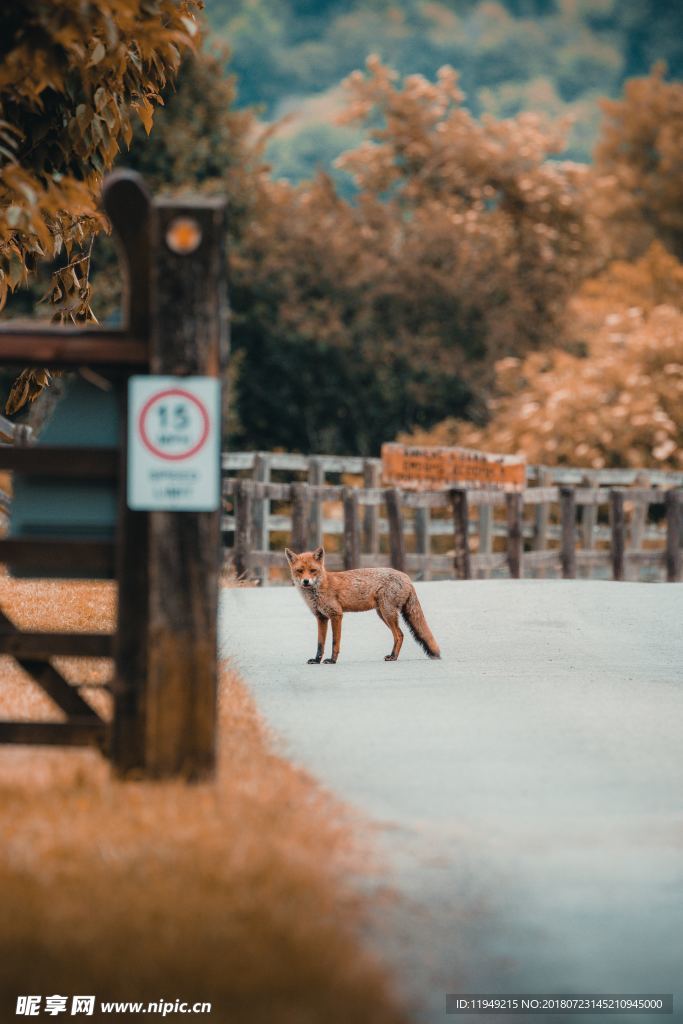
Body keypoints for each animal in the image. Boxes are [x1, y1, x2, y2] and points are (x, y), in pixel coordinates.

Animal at [286, 544, 440, 663]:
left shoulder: (336, 615)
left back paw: (393, 657)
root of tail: (407, 577)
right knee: (400, 635)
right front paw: (317, 660)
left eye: (313, 570)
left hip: (387, 613)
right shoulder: (321, 617)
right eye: (300, 571)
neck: (319, 590)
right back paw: (393, 656)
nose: (306, 581)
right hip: (382, 613)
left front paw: (332, 660)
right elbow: (320, 644)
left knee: (399, 635)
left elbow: (335, 641)